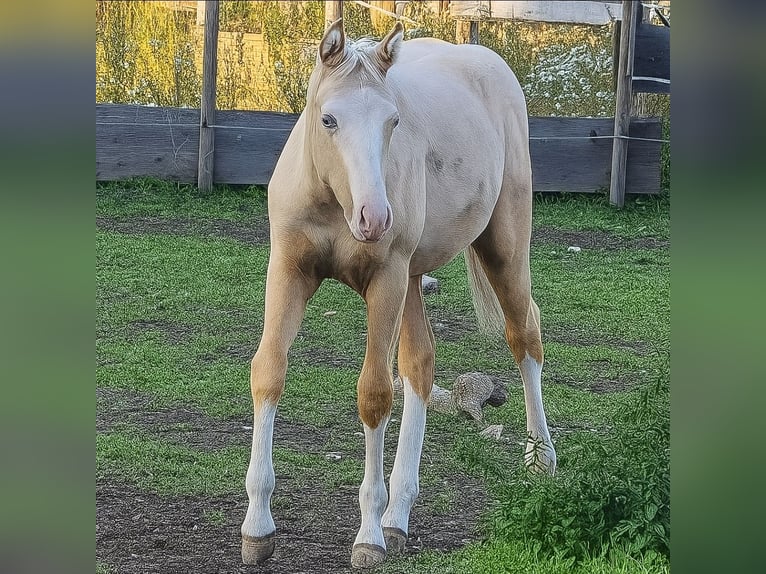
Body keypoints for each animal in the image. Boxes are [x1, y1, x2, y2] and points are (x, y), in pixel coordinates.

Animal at [241, 20, 557, 569]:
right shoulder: (288, 271)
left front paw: (368, 535)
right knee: (420, 364)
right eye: (328, 119)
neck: (335, 201)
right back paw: (400, 513)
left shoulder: (385, 280)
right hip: (412, 281)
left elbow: (374, 394)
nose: (375, 217)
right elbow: (269, 373)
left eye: (392, 122)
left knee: (525, 336)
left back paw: (541, 458)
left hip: (501, 250)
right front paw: (257, 525)